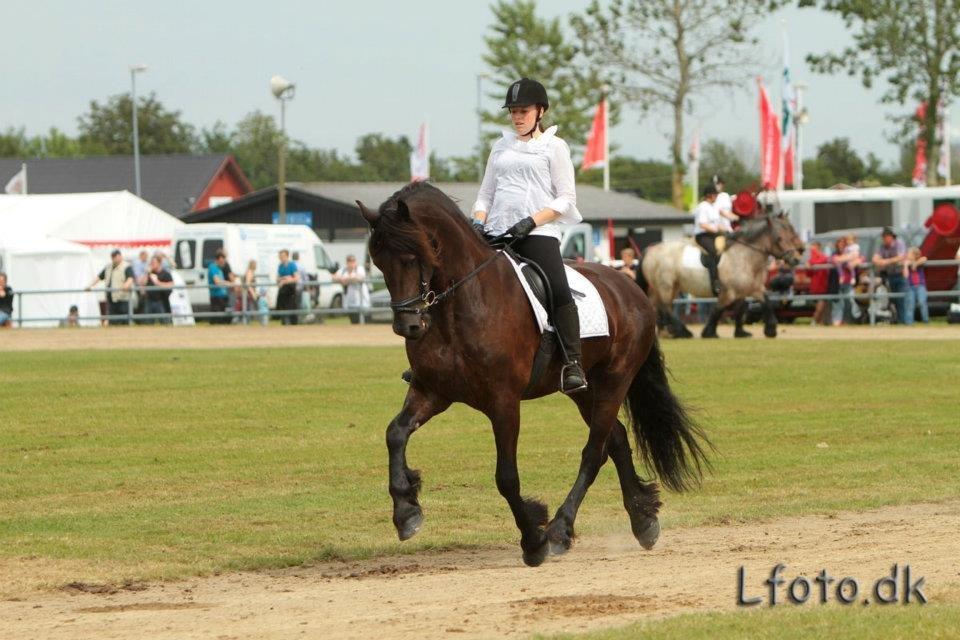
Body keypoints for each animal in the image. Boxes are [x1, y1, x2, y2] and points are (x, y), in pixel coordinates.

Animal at [356, 182, 708, 568]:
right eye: (378, 261)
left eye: (413, 256)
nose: (408, 326)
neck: (462, 304)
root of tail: (632, 289)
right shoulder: (433, 391)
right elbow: (395, 434)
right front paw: (407, 511)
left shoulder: (504, 401)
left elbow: (506, 477)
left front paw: (533, 539)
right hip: (585, 390)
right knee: (615, 440)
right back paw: (642, 521)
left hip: (615, 381)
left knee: (594, 452)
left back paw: (560, 530)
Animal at [640, 214, 808, 340]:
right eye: (779, 238)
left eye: (792, 234)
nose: (796, 258)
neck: (745, 256)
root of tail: (650, 250)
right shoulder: (728, 293)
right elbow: (718, 309)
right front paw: (709, 332)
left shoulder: (751, 289)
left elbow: (757, 305)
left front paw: (757, 331)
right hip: (666, 286)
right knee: (666, 307)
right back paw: (683, 332)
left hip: (666, 287)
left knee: (657, 306)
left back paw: (665, 332)